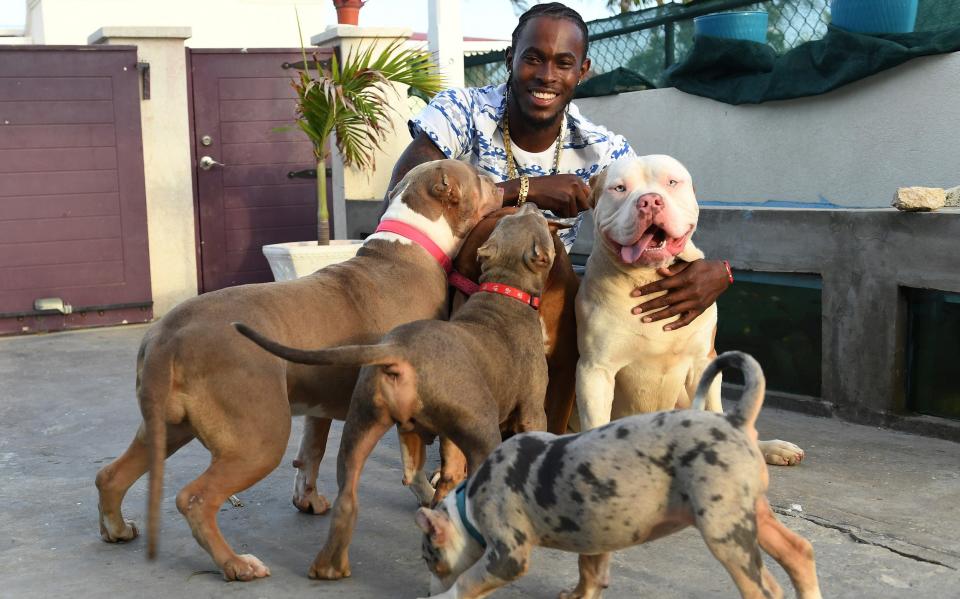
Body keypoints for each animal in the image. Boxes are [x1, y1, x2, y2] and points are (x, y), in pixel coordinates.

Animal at [94, 159, 502, 580]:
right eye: (479, 176)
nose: (500, 182)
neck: (413, 241)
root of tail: (167, 336)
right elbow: (416, 462)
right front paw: (427, 494)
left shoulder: (318, 401)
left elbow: (311, 453)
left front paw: (308, 499)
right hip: (258, 440)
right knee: (195, 499)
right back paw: (236, 564)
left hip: (166, 427)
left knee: (111, 474)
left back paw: (117, 528)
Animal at [572, 152, 808, 466]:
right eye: (619, 188)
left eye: (672, 182)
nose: (649, 201)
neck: (647, 276)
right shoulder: (596, 369)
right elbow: (595, 421)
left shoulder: (702, 361)